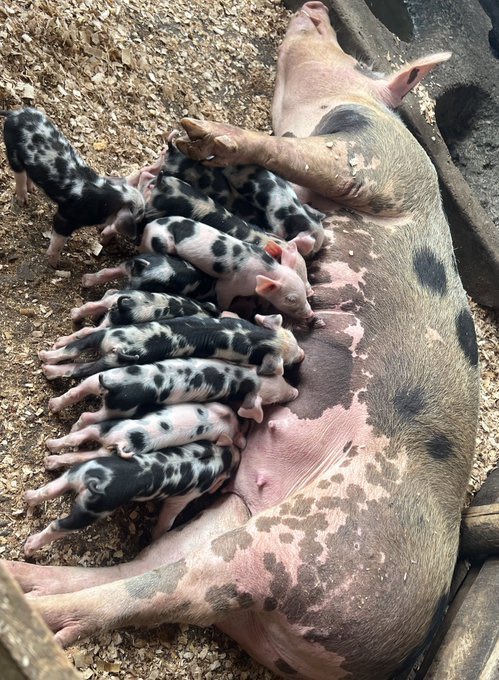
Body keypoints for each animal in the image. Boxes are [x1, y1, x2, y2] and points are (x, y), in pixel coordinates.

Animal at [1, 107, 145, 267]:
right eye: (138, 217)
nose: (138, 240)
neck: (107, 200)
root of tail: (14, 113)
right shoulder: (66, 217)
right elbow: (58, 240)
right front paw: (54, 265)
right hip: (12, 151)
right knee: (19, 174)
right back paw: (23, 201)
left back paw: (32, 190)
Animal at [24, 441, 241, 556]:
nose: (238, 451)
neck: (220, 457)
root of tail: (98, 478)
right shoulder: (183, 498)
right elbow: (167, 520)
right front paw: (156, 537)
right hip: (92, 510)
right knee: (57, 526)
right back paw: (29, 547)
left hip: (76, 473)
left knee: (49, 489)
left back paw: (30, 495)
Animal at [47, 357, 299, 425]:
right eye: (272, 401)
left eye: (282, 377)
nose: (295, 392)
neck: (245, 378)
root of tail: (116, 386)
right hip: (120, 409)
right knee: (87, 417)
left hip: (104, 377)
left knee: (77, 389)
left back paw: (52, 403)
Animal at [139, 216, 315, 321]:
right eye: (290, 299)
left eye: (303, 291)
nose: (311, 313)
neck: (269, 271)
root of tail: (148, 226)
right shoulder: (229, 286)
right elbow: (223, 296)